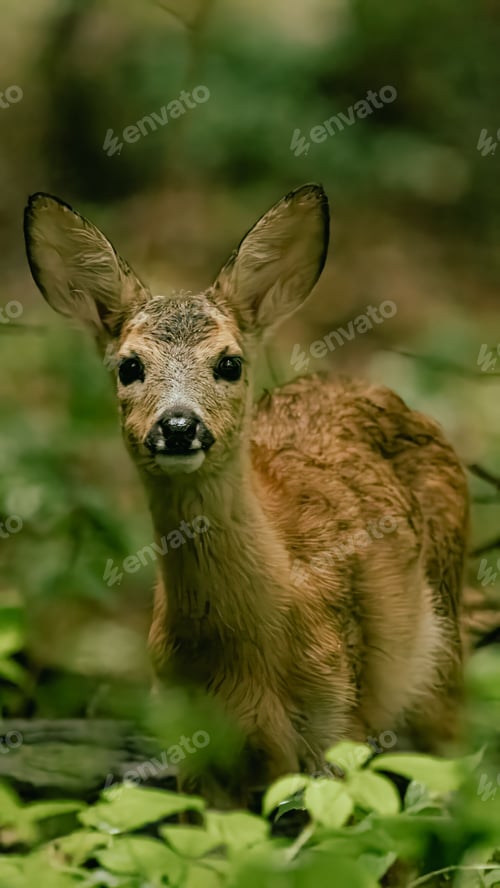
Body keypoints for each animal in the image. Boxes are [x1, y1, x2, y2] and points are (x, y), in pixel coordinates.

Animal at [24, 183, 469, 808]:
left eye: (229, 363)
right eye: (129, 366)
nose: (178, 426)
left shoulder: (339, 716)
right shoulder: (192, 742)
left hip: (440, 654)